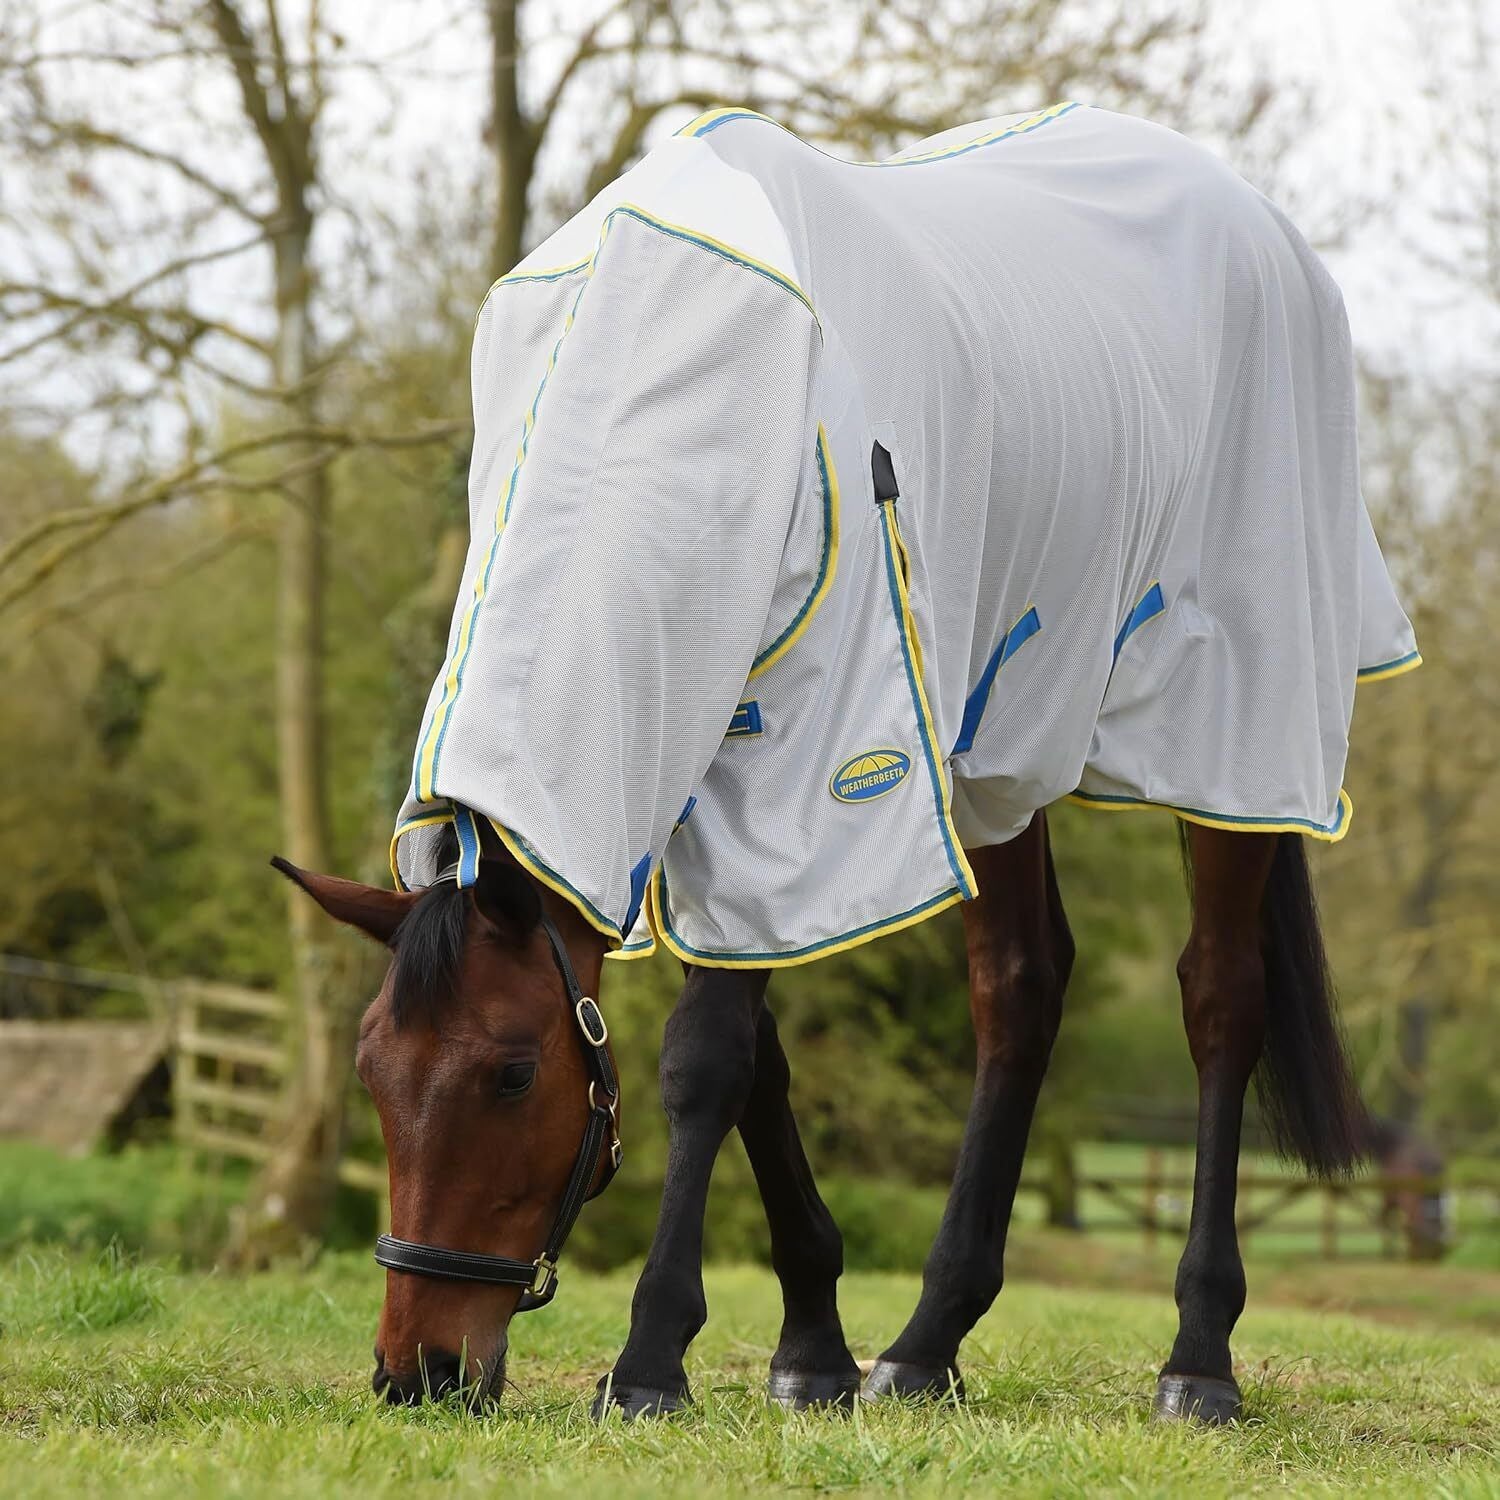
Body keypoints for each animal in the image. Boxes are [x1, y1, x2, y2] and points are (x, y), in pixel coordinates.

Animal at [276, 100, 1419, 1422]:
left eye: (511, 1074)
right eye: (373, 1073)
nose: (419, 1372)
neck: (670, 395)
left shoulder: (806, 767)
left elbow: (707, 1060)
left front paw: (650, 1361)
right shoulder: (688, 772)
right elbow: (759, 1058)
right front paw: (813, 1347)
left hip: (1238, 727)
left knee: (1222, 998)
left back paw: (1199, 1355)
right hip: (993, 740)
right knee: (1021, 988)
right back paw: (926, 1343)